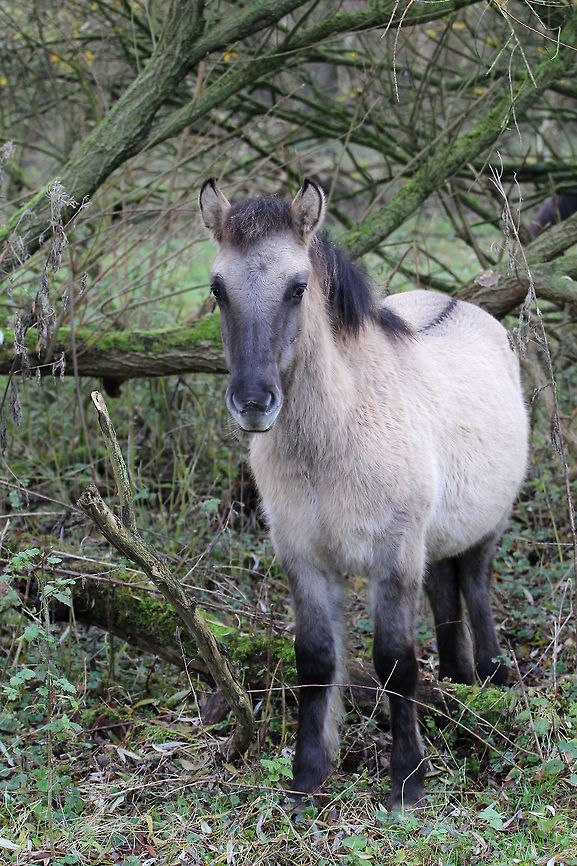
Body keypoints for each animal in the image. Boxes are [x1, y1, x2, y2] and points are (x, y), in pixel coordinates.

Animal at [199, 178, 528, 809]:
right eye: (217, 287)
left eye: (298, 286)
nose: (253, 402)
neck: (334, 437)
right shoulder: (303, 557)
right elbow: (315, 658)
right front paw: (308, 776)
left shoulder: (392, 554)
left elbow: (394, 662)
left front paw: (406, 782)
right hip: (434, 541)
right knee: (445, 596)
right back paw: (458, 685)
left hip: (486, 527)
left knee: (474, 588)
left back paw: (495, 679)